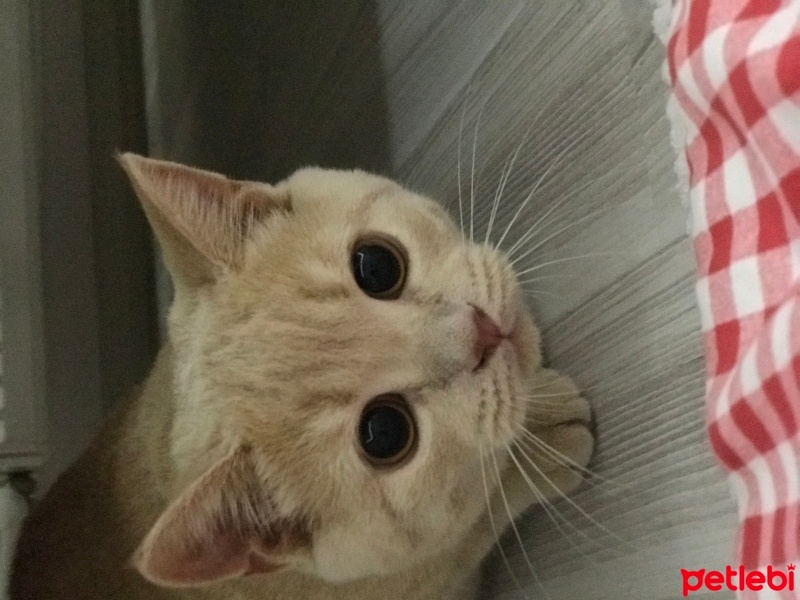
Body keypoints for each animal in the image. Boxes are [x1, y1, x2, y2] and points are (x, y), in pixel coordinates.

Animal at [7, 156, 592, 600]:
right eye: (385, 432)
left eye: (376, 265)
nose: (484, 331)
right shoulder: (417, 576)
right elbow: (470, 525)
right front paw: (544, 429)